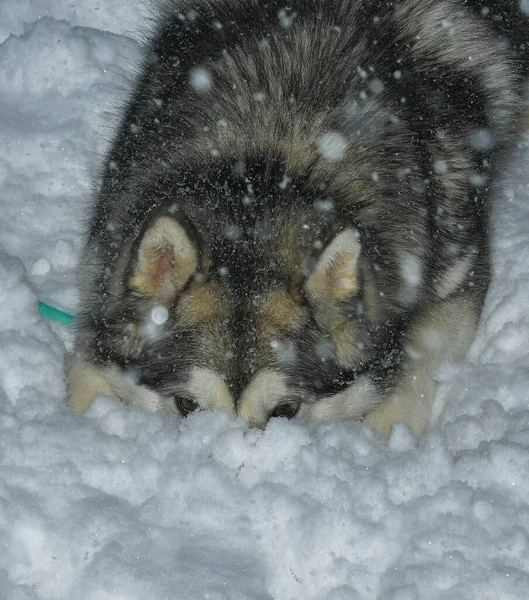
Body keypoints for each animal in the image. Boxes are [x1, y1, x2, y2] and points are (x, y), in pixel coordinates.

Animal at [66, 0, 528, 434]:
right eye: (188, 406)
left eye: (285, 411)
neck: (269, 165)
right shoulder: (105, 259)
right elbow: (87, 368)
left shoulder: (457, 276)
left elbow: (416, 361)